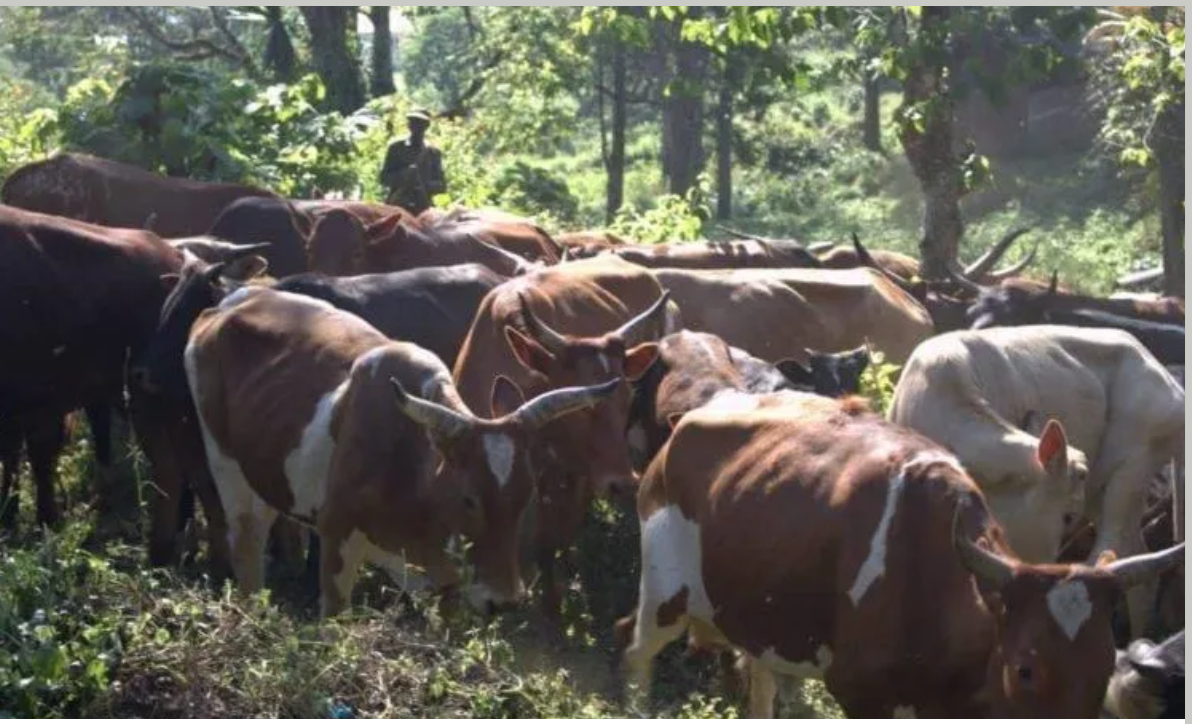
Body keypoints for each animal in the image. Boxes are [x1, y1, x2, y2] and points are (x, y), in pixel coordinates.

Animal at [183, 286, 624, 615]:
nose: (504, 601)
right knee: (247, 548)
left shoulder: (447, 583)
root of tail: (228, 303)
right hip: (227, 468)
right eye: (468, 499)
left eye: (525, 494)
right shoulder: (335, 539)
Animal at [619, 388, 1187, 715]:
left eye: (1103, 668)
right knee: (636, 655)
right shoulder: (860, 693)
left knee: (759, 683)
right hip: (664, 594)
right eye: (1027, 670)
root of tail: (693, 417)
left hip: (757, 619)